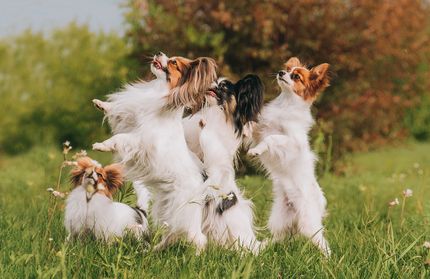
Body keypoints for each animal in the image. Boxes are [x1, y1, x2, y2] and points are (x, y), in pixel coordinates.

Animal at [92, 52, 217, 252]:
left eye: (173, 63)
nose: (159, 53)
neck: (158, 91)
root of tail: (202, 188)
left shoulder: (139, 139)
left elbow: (118, 138)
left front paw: (102, 145)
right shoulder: (132, 119)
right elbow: (120, 111)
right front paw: (101, 104)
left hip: (182, 215)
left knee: (197, 238)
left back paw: (196, 255)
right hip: (166, 211)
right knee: (169, 234)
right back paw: (155, 249)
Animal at [247, 58, 330, 258]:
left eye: (296, 76)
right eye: (287, 69)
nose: (280, 73)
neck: (285, 103)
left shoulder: (291, 142)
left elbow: (272, 139)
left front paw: (256, 151)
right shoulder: (262, 129)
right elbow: (254, 127)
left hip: (309, 224)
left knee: (322, 241)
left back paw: (329, 260)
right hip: (279, 220)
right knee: (279, 237)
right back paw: (266, 247)